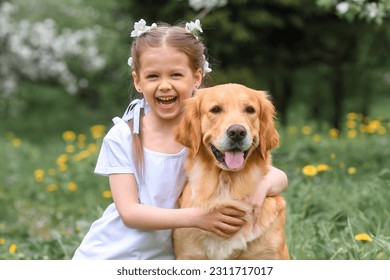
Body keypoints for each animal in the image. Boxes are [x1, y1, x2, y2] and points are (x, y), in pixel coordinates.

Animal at [174, 83, 290, 260]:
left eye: (250, 110)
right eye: (215, 109)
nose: (237, 132)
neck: (226, 187)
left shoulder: (268, 254)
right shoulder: (189, 254)